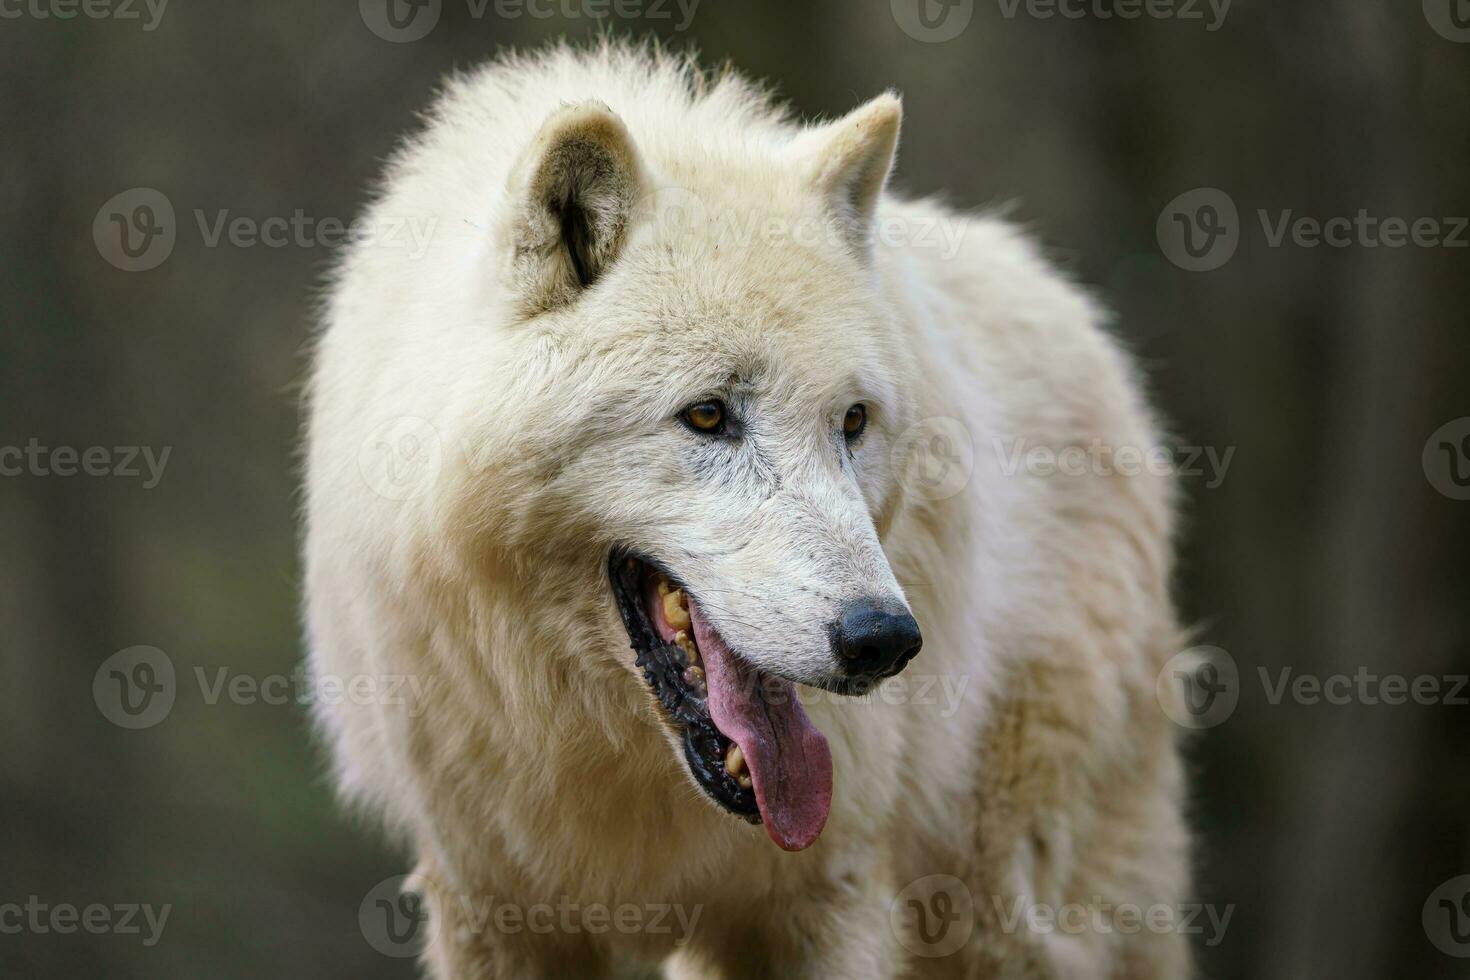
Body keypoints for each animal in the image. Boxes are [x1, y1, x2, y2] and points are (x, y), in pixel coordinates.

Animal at [301, 40, 1193, 980]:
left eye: (852, 422)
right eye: (706, 415)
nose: (882, 640)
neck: (611, 757)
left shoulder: (829, 897)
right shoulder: (490, 903)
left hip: (1001, 909)